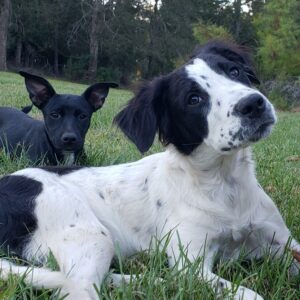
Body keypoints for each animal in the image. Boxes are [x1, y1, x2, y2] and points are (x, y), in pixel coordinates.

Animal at [0, 40, 300, 300]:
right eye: (193, 99)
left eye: (234, 71)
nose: (253, 104)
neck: (224, 185)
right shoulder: (190, 267)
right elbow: (249, 294)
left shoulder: (284, 243)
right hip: (90, 235)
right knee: (76, 287)